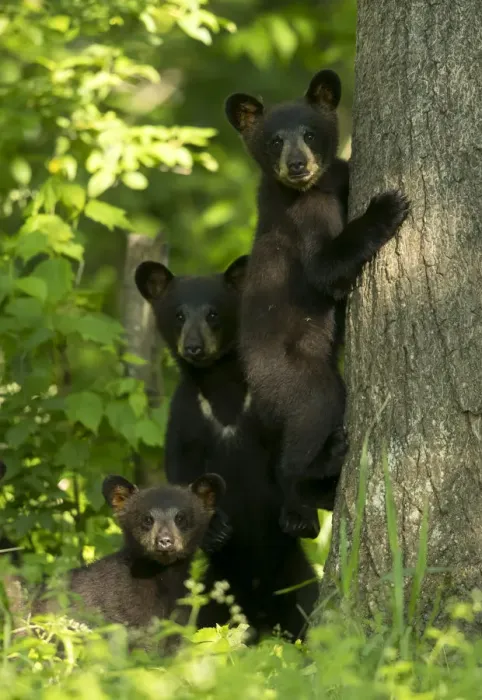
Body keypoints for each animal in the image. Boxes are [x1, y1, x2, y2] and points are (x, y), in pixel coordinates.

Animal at [135, 258, 319, 642]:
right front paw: (216, 528)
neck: (221, 388)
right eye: (178, 315)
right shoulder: (187, 416)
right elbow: (180, 468)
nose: (193, 346)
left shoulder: (263, 407)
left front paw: (300, 515)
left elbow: (292, 452)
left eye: (213, 313)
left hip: (298, 581)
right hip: (211, 600)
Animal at [225, 69, 410, 537]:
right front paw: (387, 206)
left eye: (310, 133)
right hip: (295, 375)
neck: (314, 188)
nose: (297, 164)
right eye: (275, 140)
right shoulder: (301, 220)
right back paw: (315, 474)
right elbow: (325, 269)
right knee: (309, 423)